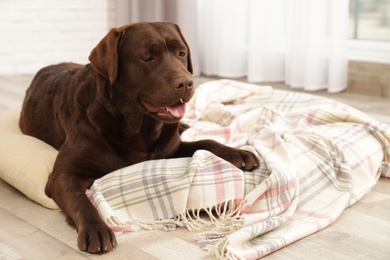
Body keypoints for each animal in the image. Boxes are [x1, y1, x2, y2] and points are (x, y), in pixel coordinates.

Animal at [20, 22, 258, 254]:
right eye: (147, 57)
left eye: (181, 53)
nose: (186, 83)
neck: (138, 128)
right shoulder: (63, 175)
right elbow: (81, 200)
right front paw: (96, 229)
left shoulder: (169, 149)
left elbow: (206, 142)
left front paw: (239, 153)